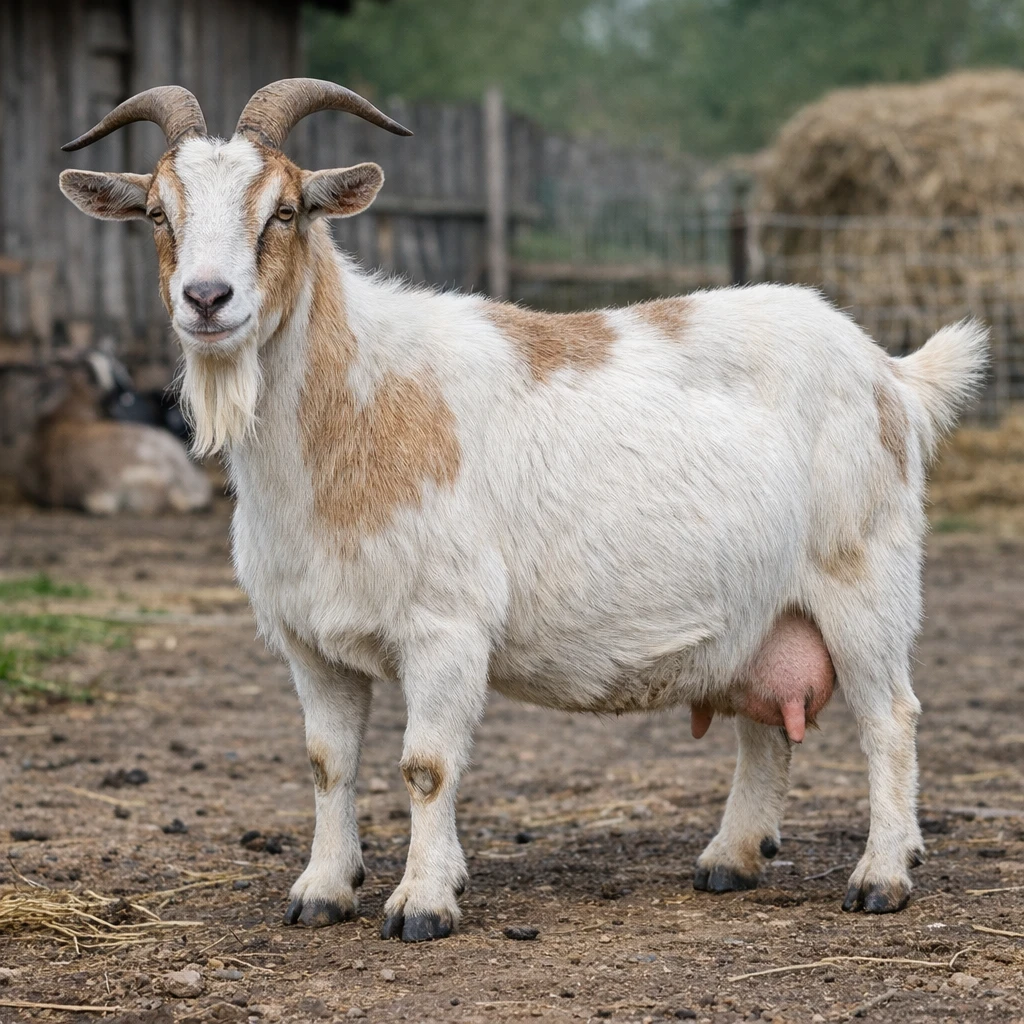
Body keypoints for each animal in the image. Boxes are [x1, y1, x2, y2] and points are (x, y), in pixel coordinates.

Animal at [59, 80, 987, 942]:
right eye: (157, 212)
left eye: (284, 211)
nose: (207, 299)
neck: (354, 407)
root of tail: (891, 373)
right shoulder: (309, 640)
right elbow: (328, 763)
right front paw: (322, 890)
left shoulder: (445, 625)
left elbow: (426, 766)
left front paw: (423, 903)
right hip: (763, 610)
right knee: (764, 725)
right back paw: (732, 858)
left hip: (864, 577)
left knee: (889, 718)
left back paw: (881, 876)